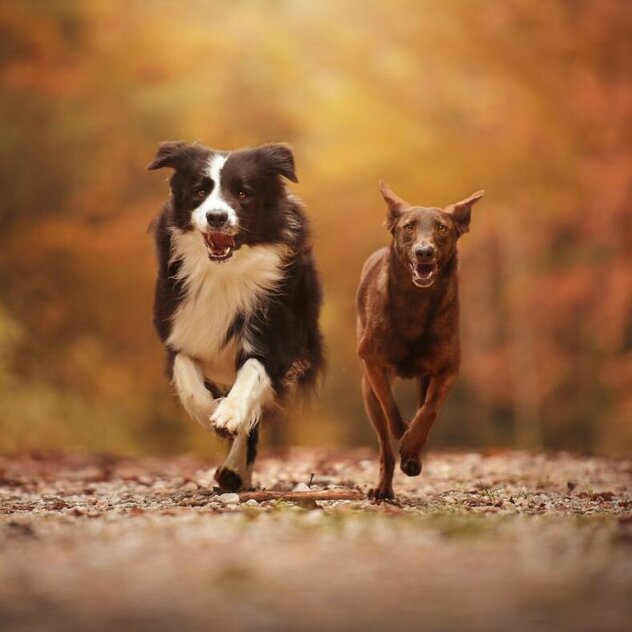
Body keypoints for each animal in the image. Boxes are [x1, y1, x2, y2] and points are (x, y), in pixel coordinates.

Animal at [149, 143, 324, 494]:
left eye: (243, 193)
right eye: (199, 191)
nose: (216, 216)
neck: (223, 273)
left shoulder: (275, 340)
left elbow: (251, 375)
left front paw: (228, 414)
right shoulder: (178, 328)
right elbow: (187, 376)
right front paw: (211, 410)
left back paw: (234, 470)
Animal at [356, 183, 484, 498]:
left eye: (442, 228)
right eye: (408, 226)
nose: (424, 252)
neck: (416, 301)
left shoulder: (448, 368)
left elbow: (429, 410)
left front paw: (412, 447)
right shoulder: (373, 363)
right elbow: (390, 408)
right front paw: (403, 436)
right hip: (367, 390)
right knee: (384, 445)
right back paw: (383, 487)